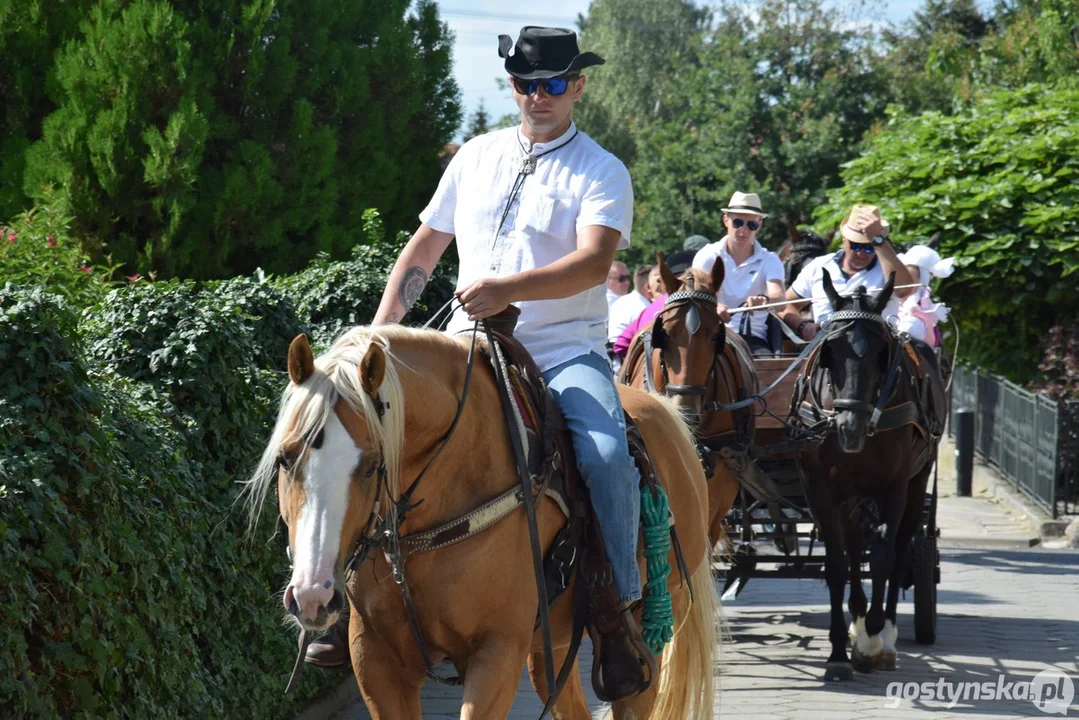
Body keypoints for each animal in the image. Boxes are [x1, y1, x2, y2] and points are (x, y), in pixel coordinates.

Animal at [250, 325, 725, 720]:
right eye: (286, 458)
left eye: (370, 466)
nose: (313, 596)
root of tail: (665, 414)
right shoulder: (376, 661)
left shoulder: (496, 653)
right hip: (550, 646)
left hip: (648, 625)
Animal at [794, 273, 945, 677]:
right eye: (830, 350)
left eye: (881, 353)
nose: (851, 428)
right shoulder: (819, 487)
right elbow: (836, 564)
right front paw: (837, 652)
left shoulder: (895, 485)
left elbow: (882, 556)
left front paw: (874, 639)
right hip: (851, 495)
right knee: (853, 545)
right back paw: (858, 616)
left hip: (917, 483)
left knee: (901, 550)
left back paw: (884, 630)